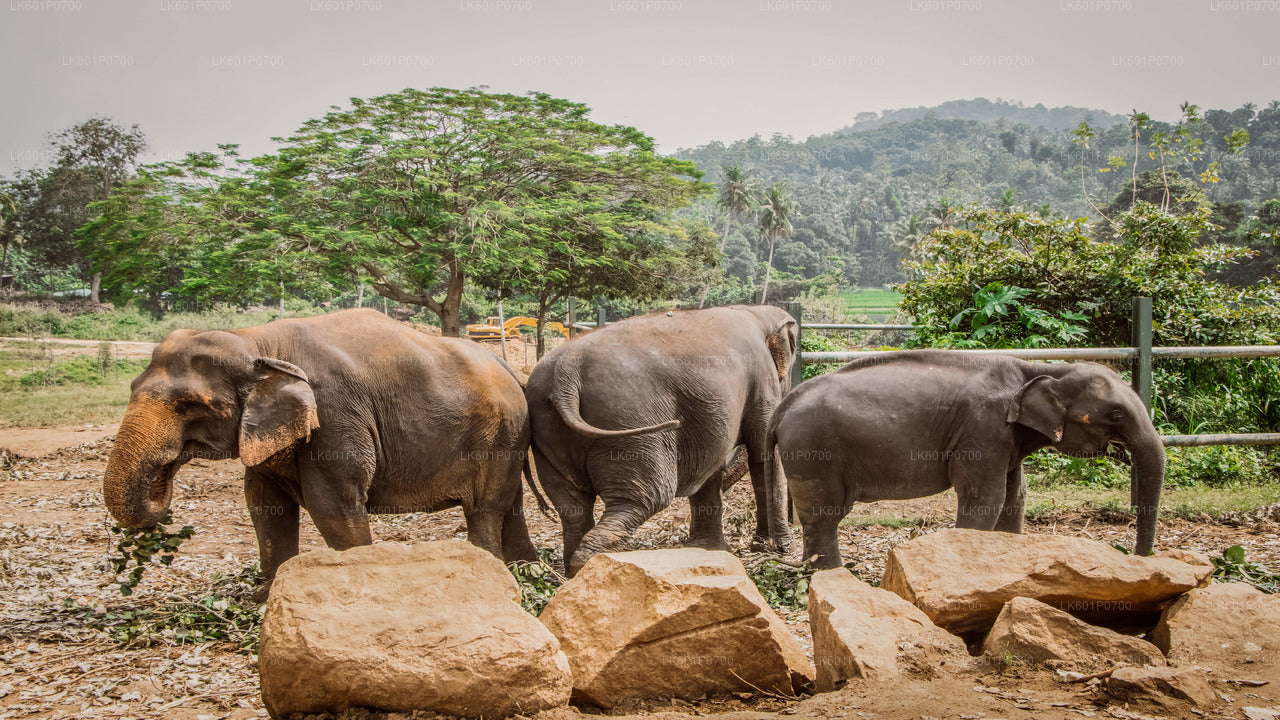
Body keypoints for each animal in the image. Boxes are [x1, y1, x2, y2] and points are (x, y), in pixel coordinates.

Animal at [103, 309, 539, 595]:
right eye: (131, 388)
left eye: (191, 405)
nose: (163, 479)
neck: (257, 339)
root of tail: (507, 365)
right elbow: (264, 505)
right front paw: (265, 600)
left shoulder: (334, 416)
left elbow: (332, 503)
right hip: (508, 436)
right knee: (510, 503)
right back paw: (527, 572)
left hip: (496, 436)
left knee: (484, 507)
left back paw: (497, 575)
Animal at [525, 304, 799, 575]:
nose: (762, 542)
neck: (755, 311)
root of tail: (567, 371)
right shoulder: (762, 381)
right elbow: (763, 456)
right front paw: (778, 548)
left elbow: (712, 467)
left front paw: (710, 550)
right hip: (630, 422)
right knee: (649, 496)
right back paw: (591, 563)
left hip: (548, 432)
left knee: (573, 508)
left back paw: (575, 571)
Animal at [768, 350, 1166, 568]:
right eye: (1116, 414)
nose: (1135, 557)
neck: (1040, 367)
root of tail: (782, 406)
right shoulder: (983, 429)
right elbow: (985, 499)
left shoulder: (1006, 439)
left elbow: (1015, 497)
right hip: (812, 450)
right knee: (824, 515)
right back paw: (832, 574)